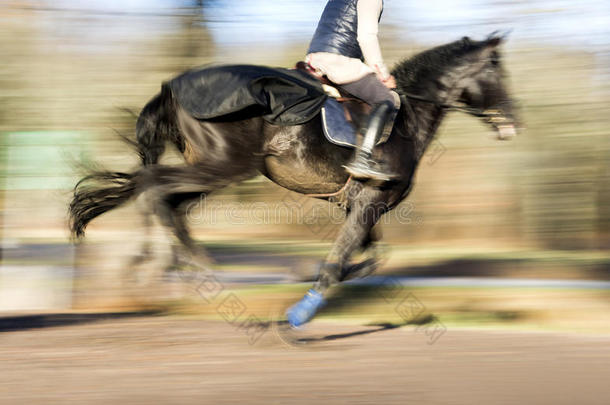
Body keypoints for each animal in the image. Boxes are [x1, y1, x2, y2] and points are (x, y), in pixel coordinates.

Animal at [69, 34, 516, 326]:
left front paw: (299, 273)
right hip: (223, 166)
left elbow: (369, 259)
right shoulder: (369, 203)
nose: (513, 122)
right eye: (498, 71)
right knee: (153, 184)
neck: (407, 118)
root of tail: (170, 88)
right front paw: (300, 311)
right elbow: (341, 263)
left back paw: (175, 265)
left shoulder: (363, 207)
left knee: (165, 198)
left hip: (212, 173)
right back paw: (161, 263)